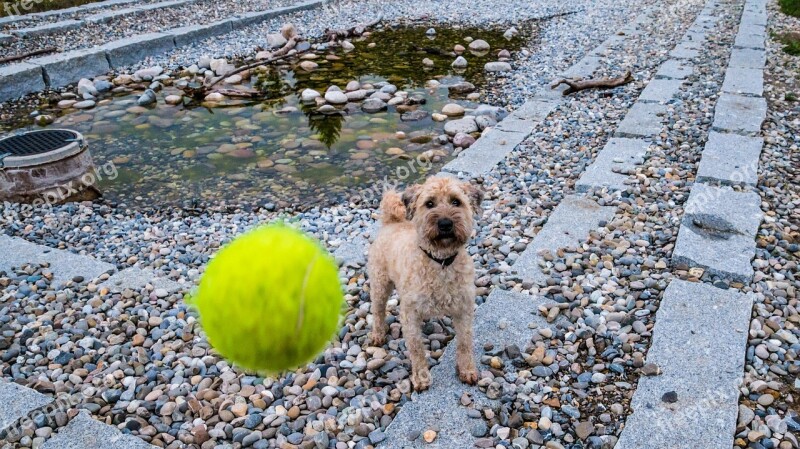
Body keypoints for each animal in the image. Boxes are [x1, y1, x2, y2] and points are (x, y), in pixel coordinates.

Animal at [368, 175, 482, 388]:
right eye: (429, 204)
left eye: (456, 201)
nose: (445, 224)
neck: (440, 262)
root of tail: (390, 222)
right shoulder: (410, 314)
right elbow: (416, 348)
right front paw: (421, 377)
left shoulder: (464, 310)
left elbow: (465, 342)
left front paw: (467, 370)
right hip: (380, 284)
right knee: (378, 311)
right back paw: (378, 334)